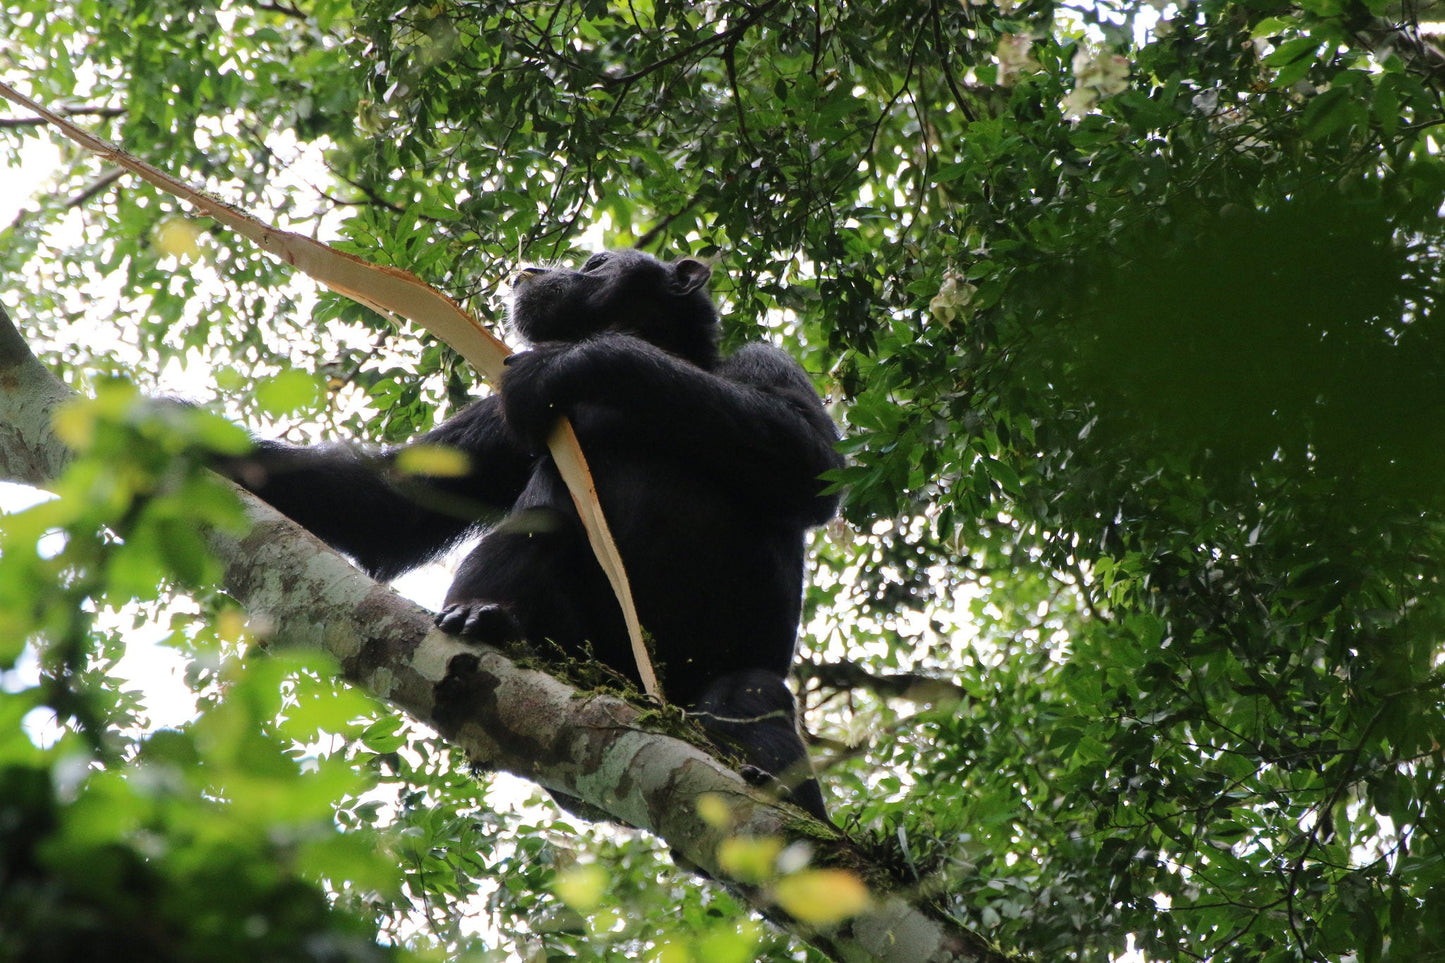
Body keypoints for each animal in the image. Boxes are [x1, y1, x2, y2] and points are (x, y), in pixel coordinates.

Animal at [219, 247, 843, 815]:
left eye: (595, 264)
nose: (534, 271)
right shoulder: (494, 414)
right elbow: (395, 501)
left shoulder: (768, 360)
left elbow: (806, 454)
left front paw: (572, 360)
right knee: (544, 522)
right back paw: (488, 617)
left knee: (750, 691)